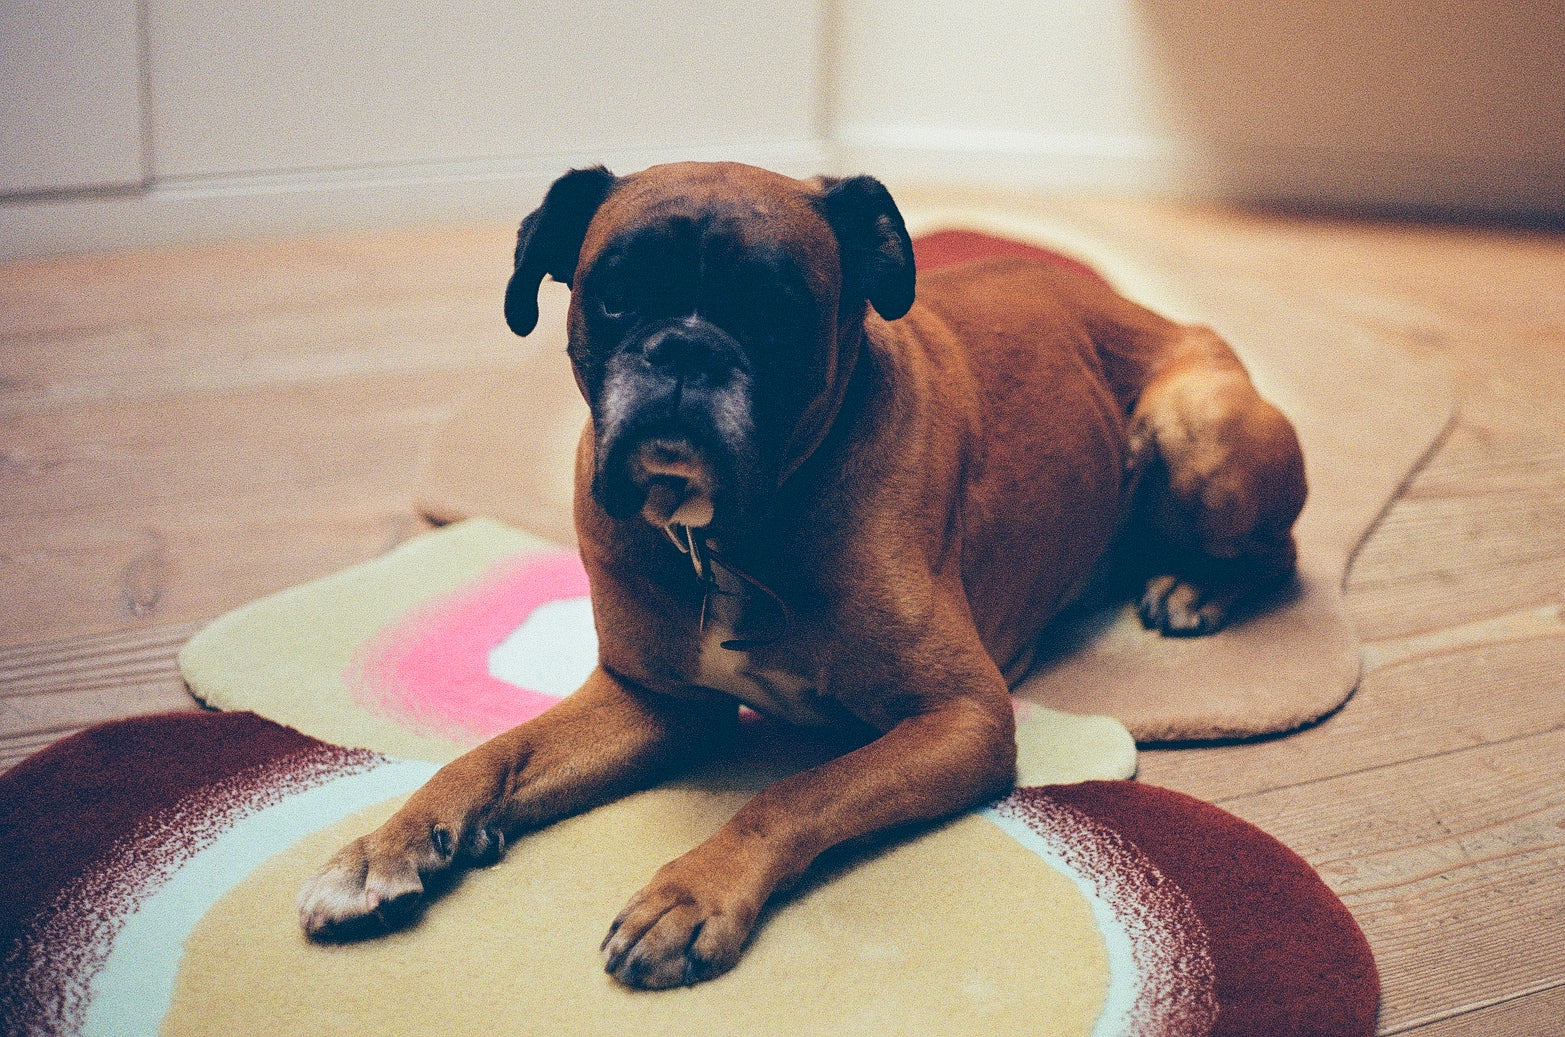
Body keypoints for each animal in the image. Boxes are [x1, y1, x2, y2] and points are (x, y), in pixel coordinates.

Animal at [298, 160, 1302, 988]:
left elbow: (796, 791)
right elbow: (490, 752)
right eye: (615, 294)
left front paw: (693, 892)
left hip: (1198, 428)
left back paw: (1192, 588)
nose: (686, 350)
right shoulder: (652, 699)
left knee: (1275, 552)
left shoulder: (963, 717)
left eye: (778, 311)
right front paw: (384, 846)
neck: (722, 536)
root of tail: (1156, 312)